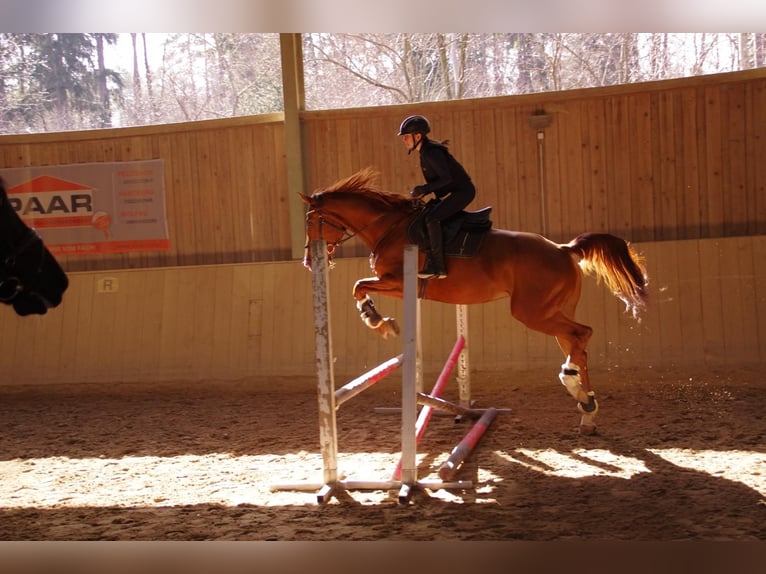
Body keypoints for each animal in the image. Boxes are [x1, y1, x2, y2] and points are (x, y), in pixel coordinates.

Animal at [301, 168, 648, 434]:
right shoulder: (398, 286)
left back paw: (573, 384)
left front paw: (377, 321)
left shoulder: (398, 283)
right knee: (577, 341)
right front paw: (377, 319)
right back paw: (586, 409)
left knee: (582, 333)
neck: (389, 227)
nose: (307, 261)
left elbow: (359, 287)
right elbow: (360, 288)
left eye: (310, 221)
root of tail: (563, 249)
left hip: (532, 312)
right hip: (553, 311)